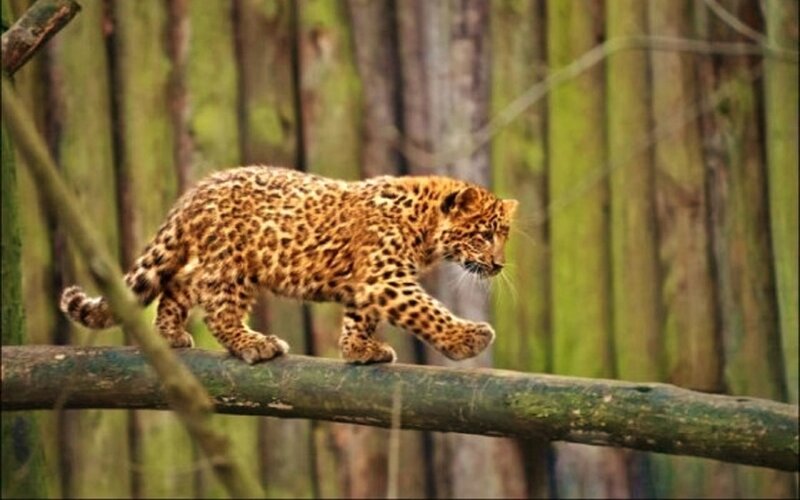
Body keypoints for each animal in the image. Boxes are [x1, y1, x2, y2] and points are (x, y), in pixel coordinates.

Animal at [60, 166, 518, 364]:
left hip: (220, 264)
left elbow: (359, 317)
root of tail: (194, 192)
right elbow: (427, 311)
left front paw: (358, 349)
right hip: (232, 266)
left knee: (180, 284)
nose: (498, 265)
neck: (424, 225)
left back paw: (171, 334)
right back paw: (255, 344)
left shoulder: (368, 283)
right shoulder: (384, 278)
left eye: (504, 235)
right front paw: (467, 339)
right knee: (218, 313)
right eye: (483, 235)